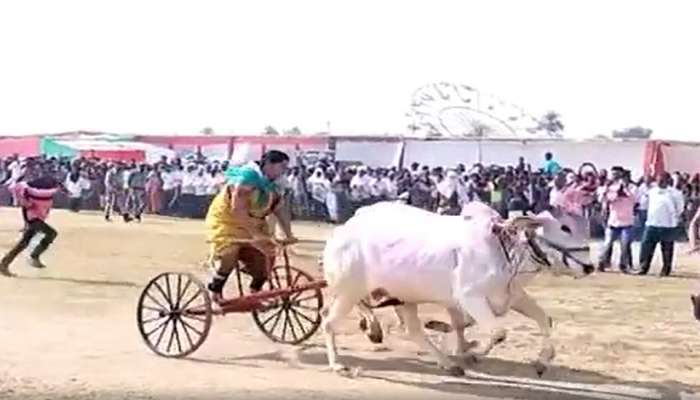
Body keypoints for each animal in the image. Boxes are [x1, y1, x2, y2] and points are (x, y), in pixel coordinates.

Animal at [322, 202, 592, 376]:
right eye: (565, 228)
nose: (590, 266)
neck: (502, 248)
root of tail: (342, 230)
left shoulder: (513, 296)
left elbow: (543, 319)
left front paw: (542, 361)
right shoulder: (470, 297)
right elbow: (497, 333)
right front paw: (472, 354)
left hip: (404, 297)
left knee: (414, 331)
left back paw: (447, 363)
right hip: (350, 291)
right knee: (329, 322)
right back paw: (338, 363)